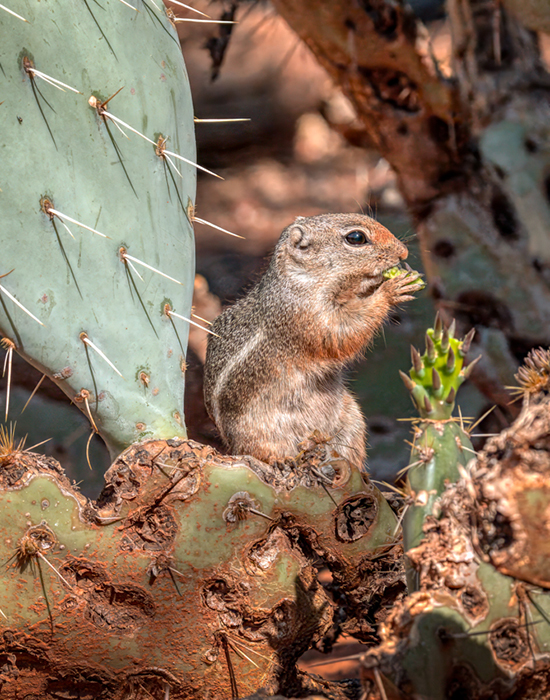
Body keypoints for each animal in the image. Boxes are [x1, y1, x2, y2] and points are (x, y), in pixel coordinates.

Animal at [203, 213, 423, 470]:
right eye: (356, 238)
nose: (403, 253)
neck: (303, 279)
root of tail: (230, 445)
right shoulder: (305, 315)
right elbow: (342, 331)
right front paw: (391, 289)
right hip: (261, 434)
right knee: (258, 451)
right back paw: (280, 460)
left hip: (352, 420)